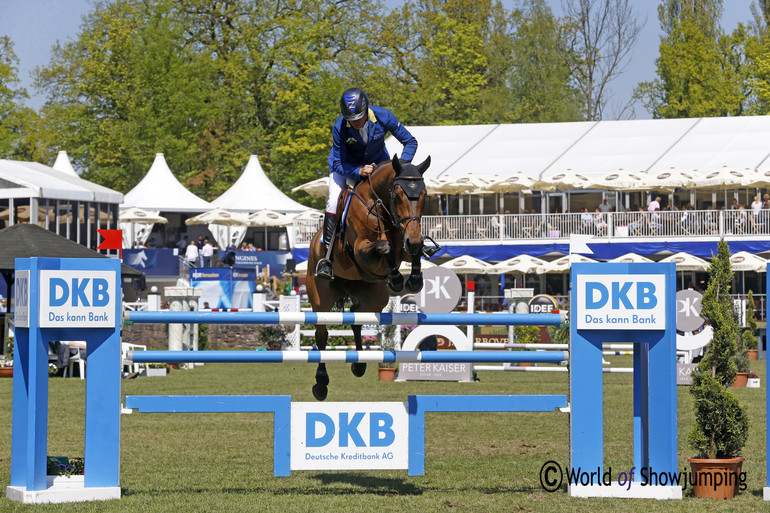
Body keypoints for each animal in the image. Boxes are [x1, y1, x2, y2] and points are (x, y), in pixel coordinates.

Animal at [304, 153, 436, 400]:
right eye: (398, 195)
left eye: (424, 195)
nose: (412, 240)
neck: (382, 208)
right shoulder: (361, 250)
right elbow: (385, 247)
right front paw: (396, 278)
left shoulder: (406, 242)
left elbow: (412, 251)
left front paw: (413, 279)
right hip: (320, 296)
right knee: (322, 334)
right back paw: (320, 383)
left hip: (373, 296)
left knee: (356, 316)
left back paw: (359, 364)